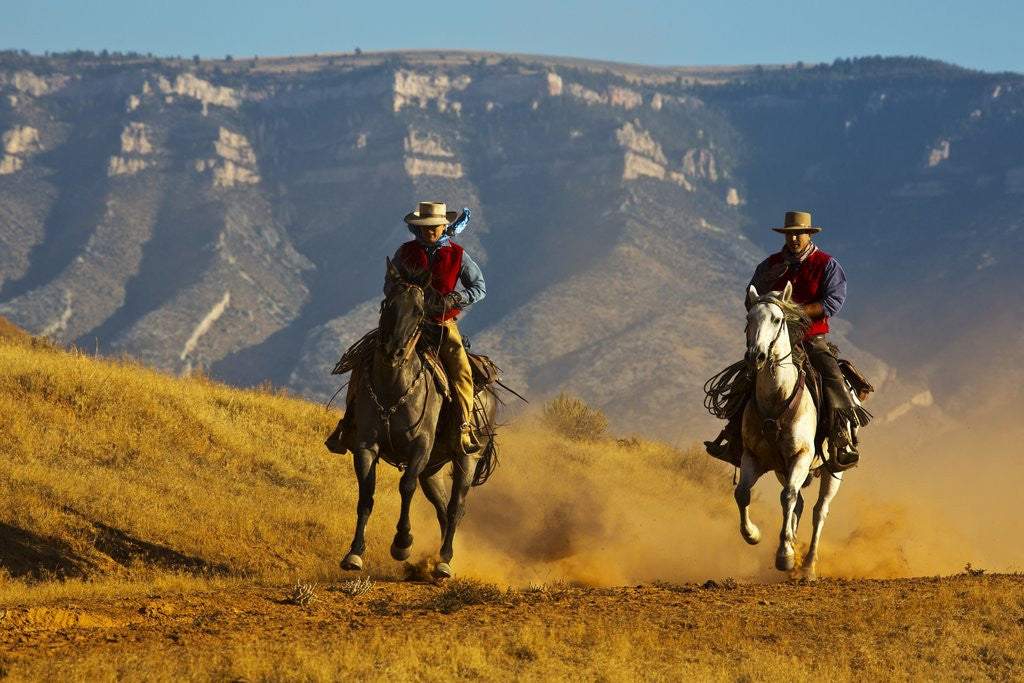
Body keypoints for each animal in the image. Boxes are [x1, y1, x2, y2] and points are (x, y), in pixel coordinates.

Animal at [342, 259, 497, 581]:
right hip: (434, 469)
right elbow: (366, 493)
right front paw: (354, 553)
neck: (393, 388)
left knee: (456, 506)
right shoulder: (366, 445)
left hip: (466, 459)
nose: (392, 351)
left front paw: (402, 544)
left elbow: (406, 486)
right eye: (386, 304)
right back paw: (439, 558)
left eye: (418, 311)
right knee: (442, 509)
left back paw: (444, 562)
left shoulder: (420, 447)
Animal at [741, 280, 843, 581]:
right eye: (749, 319)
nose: (756, 356)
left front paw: (784, 556)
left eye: (776, 319)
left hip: (833, 471)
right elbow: (742, 493)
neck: (777, 396)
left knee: (819, 511)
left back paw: (807, 565)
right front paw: (753, 535)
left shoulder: (800, 456)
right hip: (783, 469)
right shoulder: (753, 456)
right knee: (798, 503)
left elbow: (787, 496)